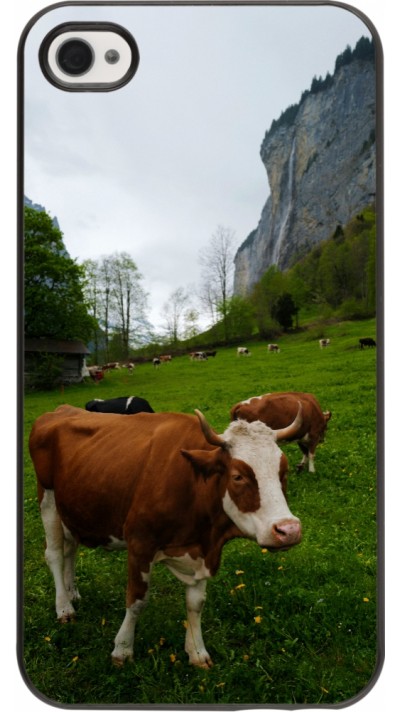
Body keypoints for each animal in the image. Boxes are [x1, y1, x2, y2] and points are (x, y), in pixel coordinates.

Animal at [29, 404, 302, 669]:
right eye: (238, 476)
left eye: (284, 472)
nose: (289, 530)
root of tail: (61, 410)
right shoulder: (139, 543)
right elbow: (137, 600)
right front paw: (123, 649)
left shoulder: (203, 551)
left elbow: (196, 603)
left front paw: (197, 652)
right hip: (48, 498)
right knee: (54, 554)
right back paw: (64, 606)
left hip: (72, 508)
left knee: (71, 549)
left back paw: (72, 592)